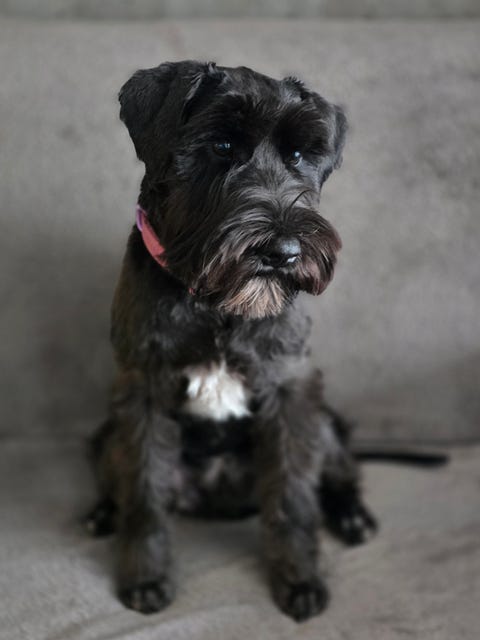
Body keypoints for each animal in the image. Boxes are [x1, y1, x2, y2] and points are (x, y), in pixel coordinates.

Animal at [86, 60, 377, 622]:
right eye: (221, 146)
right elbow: (144, 490)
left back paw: (353, 515)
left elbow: (293, 497)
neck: (215, 306)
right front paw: (146, 577)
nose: (283, 251)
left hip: (323, 421)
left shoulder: (292, 390)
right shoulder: (142, 391)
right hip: (106, 428)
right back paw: (102, 511)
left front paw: (299, 579)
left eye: (298, 155)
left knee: (340, 469)